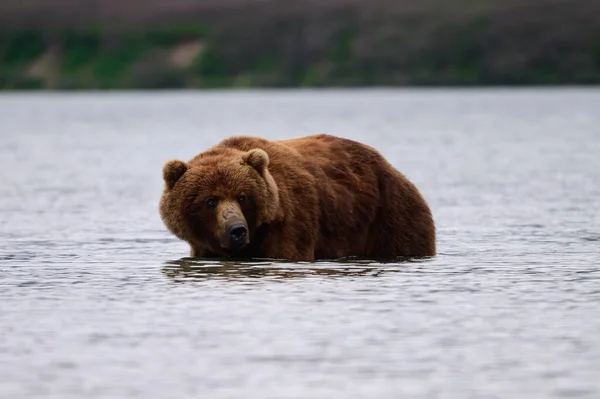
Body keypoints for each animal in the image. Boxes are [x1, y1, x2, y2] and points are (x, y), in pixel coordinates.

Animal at [157, 134, 434, 262]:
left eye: (243, 197)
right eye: (210, 200)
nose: (236, 230)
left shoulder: (291, 223)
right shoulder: (204, 246)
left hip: (390, 215)